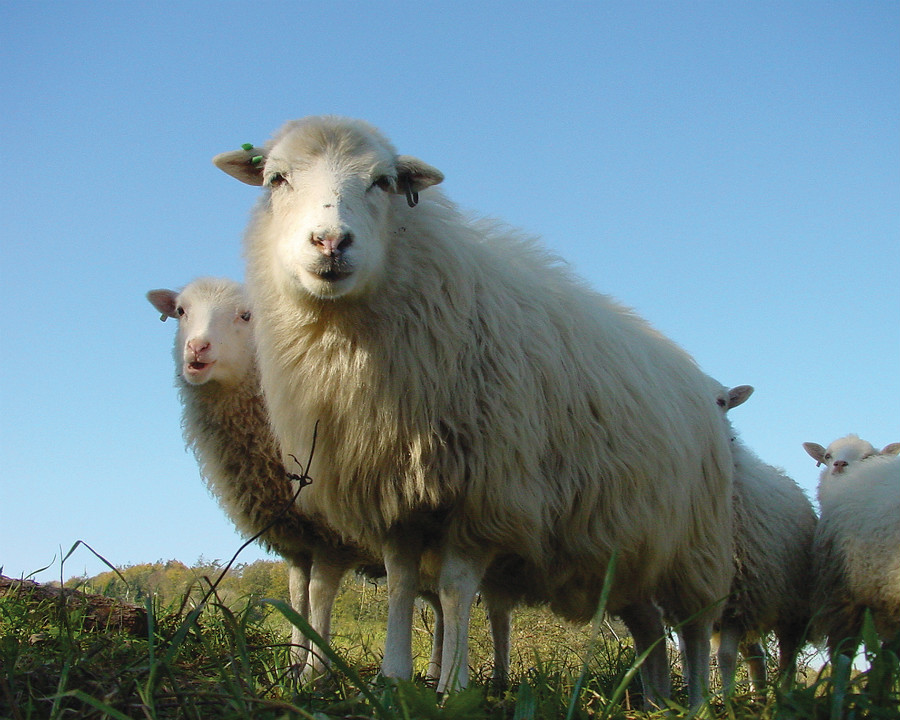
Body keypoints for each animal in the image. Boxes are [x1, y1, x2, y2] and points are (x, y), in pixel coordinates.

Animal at [146, 277, 364, 678]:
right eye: (181, 311)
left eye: (247, 316)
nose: (197, 347)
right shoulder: (298, 541)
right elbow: (296, 597)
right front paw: (293, 665)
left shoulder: (334, 538)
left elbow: (319, 596)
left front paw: (315, 672)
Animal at [213, 115, 735, 706]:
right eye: (276, 179)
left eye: (383, 182)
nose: (330, 242)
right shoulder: (395, 498)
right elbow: (401, 585)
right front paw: (394, 676)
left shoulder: (484, 496)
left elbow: (454, 592)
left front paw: (452, 685)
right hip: (631, 551)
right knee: (647, 623)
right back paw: (652, 700)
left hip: (697, 548)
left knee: (696, 631)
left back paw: (697, 701)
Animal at [709, 385, 818, 693]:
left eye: (722, 402)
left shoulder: (737, 600)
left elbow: (725, 657)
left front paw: (726, 700)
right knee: (756, 655)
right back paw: (758, 696)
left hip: (793, 609)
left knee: (787, 656)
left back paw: (783, 694)